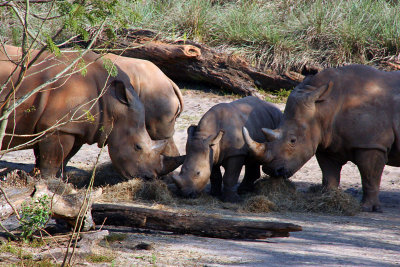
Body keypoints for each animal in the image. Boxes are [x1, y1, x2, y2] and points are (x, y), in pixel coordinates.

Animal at [0, 45, 181, 180]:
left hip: (157, 91)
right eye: (137, 147)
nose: (148, 178)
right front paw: (45, 181)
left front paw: (45, 180)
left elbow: (61, 157)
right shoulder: (58, 126)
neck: (113, 103)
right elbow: (51, 159)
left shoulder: (72, 127)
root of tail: (169, 80)